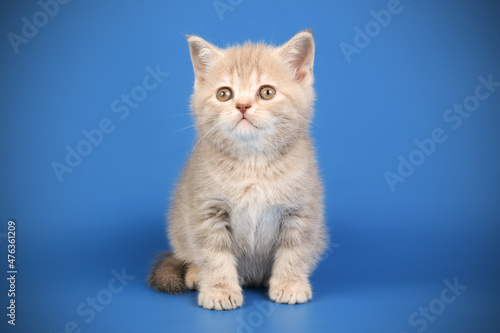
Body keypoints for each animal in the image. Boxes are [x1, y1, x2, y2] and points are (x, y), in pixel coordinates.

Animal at [148, 29, 328, 310]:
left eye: (267, 92)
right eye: (224, 94)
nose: (242, 105)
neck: (252, 163)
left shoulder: (302, 212)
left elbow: (294, 251)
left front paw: (290, 285)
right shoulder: (207, 211)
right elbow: (214, 255)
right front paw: (219, 290)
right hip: (179, 226)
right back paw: (196, 273)